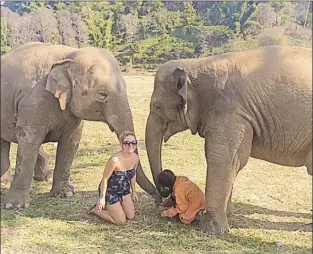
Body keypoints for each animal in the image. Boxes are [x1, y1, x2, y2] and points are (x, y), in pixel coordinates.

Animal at [1, 42, 158, 208]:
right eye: (102, 94)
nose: (159, 197)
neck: (69, 54)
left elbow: (70, 142)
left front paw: (65, 194)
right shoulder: (32, 101)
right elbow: (29, 139)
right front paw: (14, 206)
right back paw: (6, 183)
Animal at [145, 45, 310, 234]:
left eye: (157, 107)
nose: (161, 200)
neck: (196, 63)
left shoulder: (230, 112)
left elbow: (223, 158)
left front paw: (212, 231)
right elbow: (235, 161)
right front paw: (228, 214)